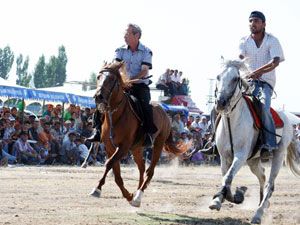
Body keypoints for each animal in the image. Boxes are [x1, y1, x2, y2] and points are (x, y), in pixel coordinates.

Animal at [88, 62, 189, 207]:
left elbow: (109, 164)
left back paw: (138, 196)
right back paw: (136, 192)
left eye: (112, 79)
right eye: (98, 77)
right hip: (137, 148)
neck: (116, 114)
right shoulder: (110, 147)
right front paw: (126, 195)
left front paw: (98, 189)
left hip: (158, 145)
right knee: (142, 167)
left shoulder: (123, 147)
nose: (98, 96)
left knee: (149, 171)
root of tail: (165, 113)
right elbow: (116, 172)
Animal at [209, 59, 300, 223]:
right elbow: (226, 177)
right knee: (262, 176)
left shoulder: (240, 155)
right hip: (253, 161)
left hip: (278, 155)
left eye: (235, 78)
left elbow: (228, 177)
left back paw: (258, 214)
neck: (232, 121)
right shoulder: (224, 157)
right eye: (218, 77)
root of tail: (288, 117)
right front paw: (224, 198)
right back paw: (263, 203)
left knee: (270, 184)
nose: (220, 102)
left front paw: (224, 198)